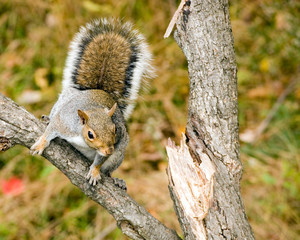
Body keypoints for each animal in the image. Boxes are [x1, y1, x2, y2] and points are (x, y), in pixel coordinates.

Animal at [30, 18, 154, 188]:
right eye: (91, 134)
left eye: (115, 129)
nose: (109, 150)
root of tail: (100, 90)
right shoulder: (64, 122)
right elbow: (50, 131)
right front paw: (41, 144)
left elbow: (100, 161)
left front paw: (95, 171)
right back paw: (47, 118)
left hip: (118, 155)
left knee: (108, 170)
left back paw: (116, 180)